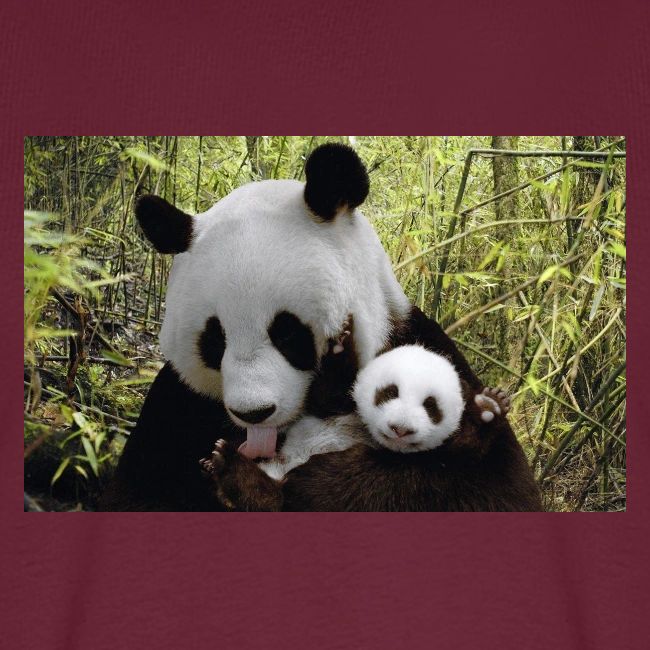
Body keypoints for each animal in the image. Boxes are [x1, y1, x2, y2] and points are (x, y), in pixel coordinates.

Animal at [100, 143, 540, 512]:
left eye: (287, 333)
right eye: (215, 340)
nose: (254, 413)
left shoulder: (420, 345)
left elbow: (490, 488)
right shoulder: (178, 404)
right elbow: (139, 493)